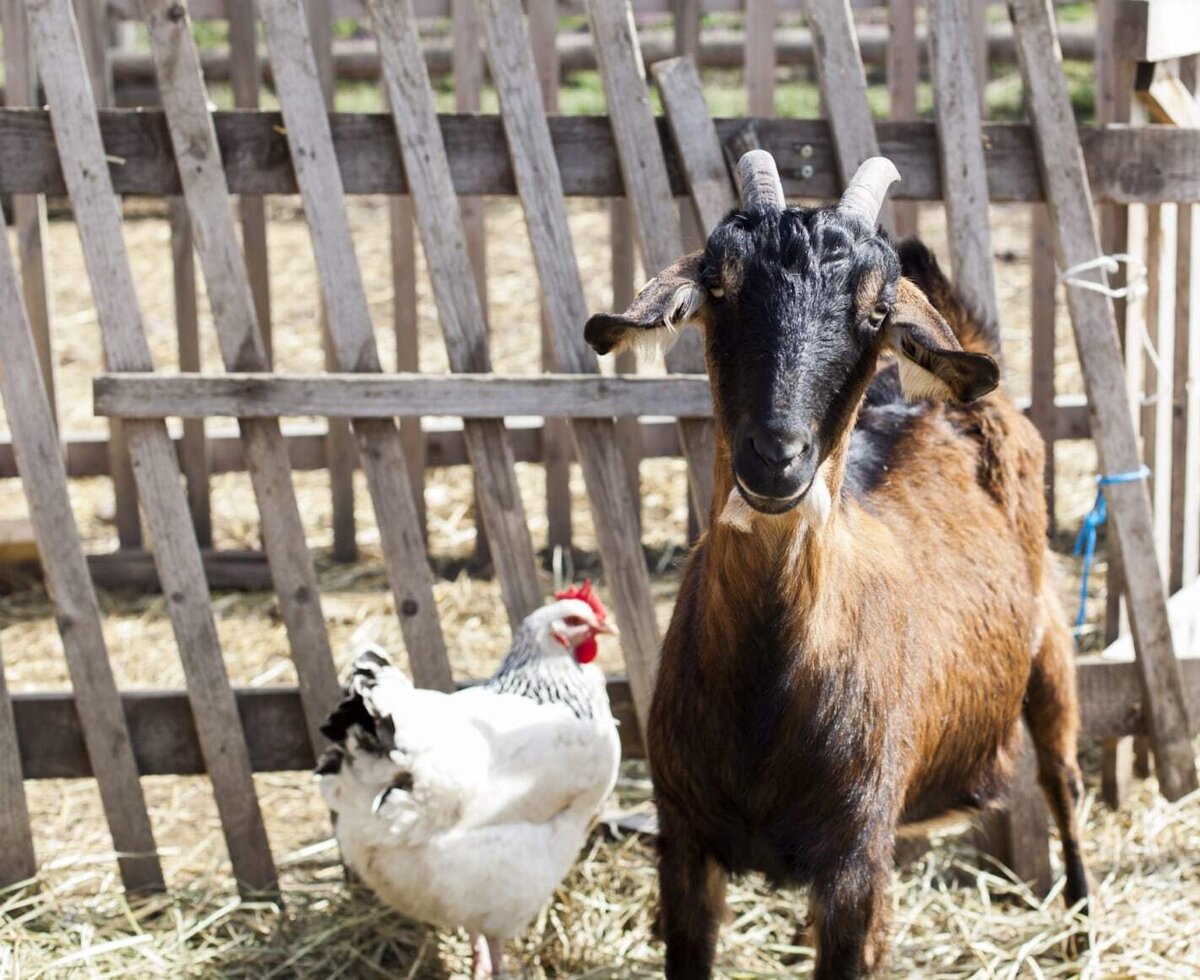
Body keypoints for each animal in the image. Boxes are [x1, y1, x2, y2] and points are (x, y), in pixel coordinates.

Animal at [584, 153, 1088, 979]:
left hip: (1049, 647)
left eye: (875, 314)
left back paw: (1083, 924)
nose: (775, 455)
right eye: (719, 288)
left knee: (1062, 777)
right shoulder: (683, 841)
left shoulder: (852, 859)